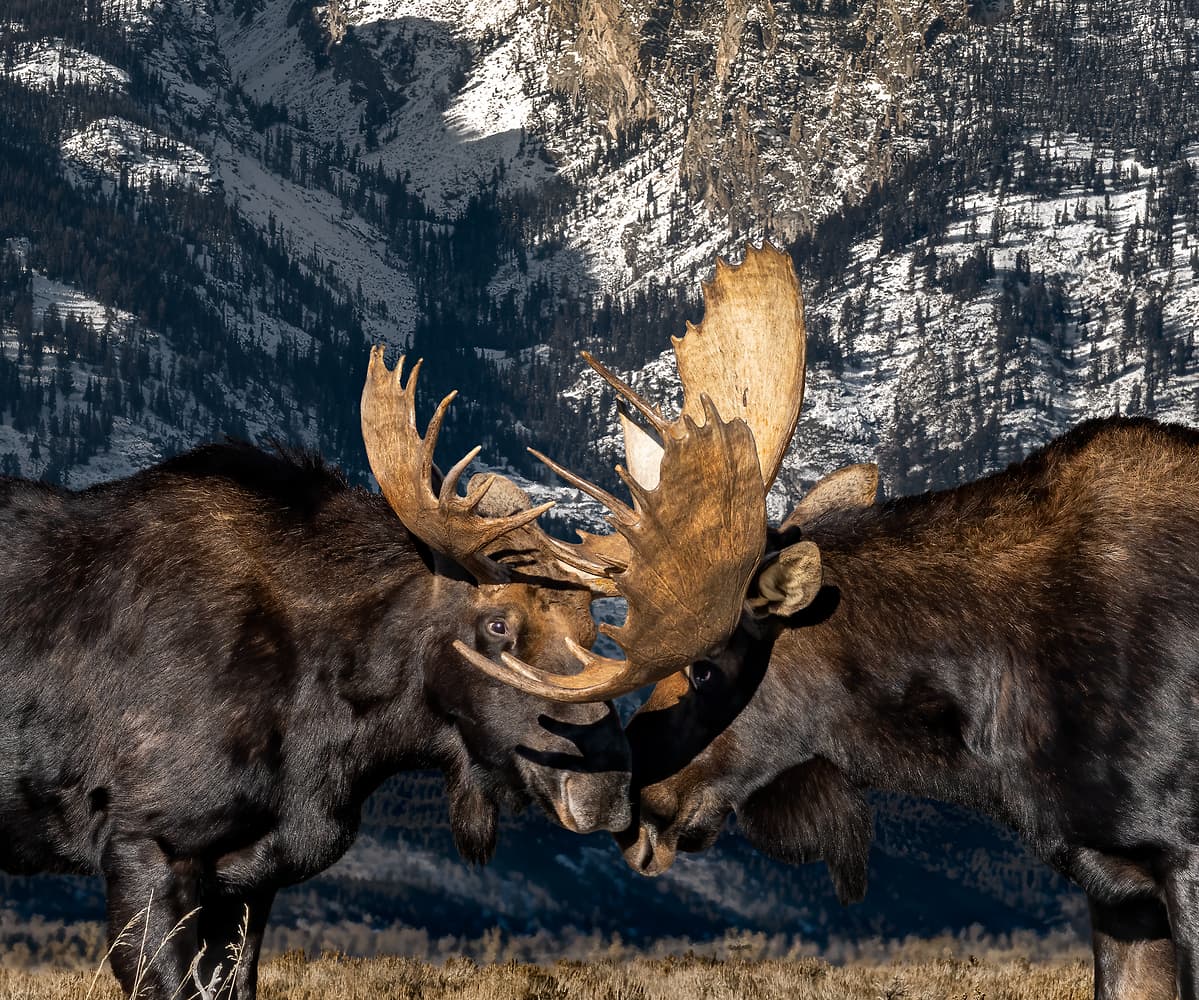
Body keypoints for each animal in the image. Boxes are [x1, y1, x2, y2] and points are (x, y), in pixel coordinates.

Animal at [0, 349, 742, 1000]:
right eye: (497, 625)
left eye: (594, 634)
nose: (609, 793)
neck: (328, 738)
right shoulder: (145, 841)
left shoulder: (251, 877)